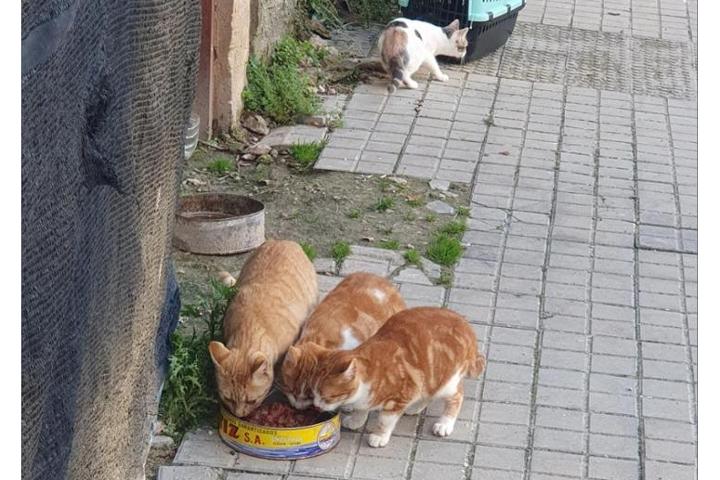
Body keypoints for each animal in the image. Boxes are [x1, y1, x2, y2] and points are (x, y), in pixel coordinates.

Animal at [309, 307, 485, 447]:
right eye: (313, 393)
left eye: (327, 397)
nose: (316, 406)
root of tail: (466, 325)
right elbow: (361, 409)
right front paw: (356, 420)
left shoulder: (399, 398)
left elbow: (384, 421)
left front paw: (379, 436)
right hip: (429, 380)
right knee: (427, 393)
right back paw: (415, 407)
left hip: (446, 381)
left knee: (457, 397)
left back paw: (444, 423)